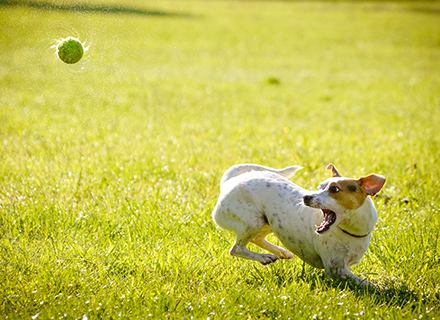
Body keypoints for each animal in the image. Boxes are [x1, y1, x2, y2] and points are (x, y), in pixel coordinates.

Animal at [213, 164, 384, 286]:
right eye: (319, 187)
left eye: (334, 189)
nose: (306, 197)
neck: (350, 231)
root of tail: (229, 182)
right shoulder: (336, 270)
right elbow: (368, 284)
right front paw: (382, 290)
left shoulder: (344, 267)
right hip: (253, 221)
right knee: (236, 249)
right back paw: (265, 256)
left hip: (268, 221)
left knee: (256, 238)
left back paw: (280, 252)